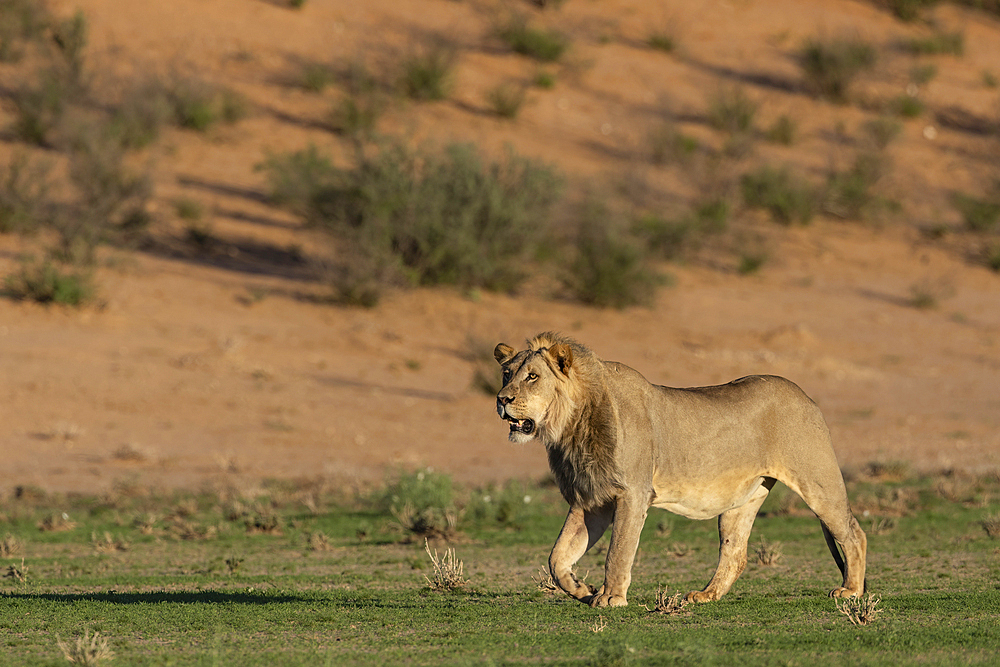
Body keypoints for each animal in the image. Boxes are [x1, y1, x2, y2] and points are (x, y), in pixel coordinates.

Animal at [494, 332, 868, 608]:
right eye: (507, 374)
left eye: (533, 376)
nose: (502, 399)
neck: (570, 427)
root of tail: (805, 396)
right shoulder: (590, 500)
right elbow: (557, 557)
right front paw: (582, 590)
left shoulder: (633, 493)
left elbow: (618, 551)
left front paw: (610, 598)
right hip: (743, 498)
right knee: (735, 551)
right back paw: (706, 595)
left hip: (818, 481)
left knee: (853, 532)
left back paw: (851, 590)